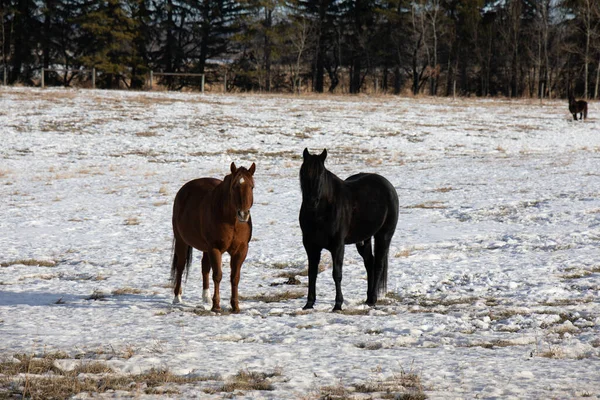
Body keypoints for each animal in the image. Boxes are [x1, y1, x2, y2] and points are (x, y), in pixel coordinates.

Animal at [169, 162, 255, 312]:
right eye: (234, 186)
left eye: (251, 186)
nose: (243, 214)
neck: (231, 221)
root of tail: (183, 190)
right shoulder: (215, 248)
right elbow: (217, 275)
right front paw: (216, 306)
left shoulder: (241, 250)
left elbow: (235, 277)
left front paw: (235, 306)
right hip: (181, 241)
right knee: (180, 266)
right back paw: (177, 298)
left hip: (205, 248)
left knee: (204, 267)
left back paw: (206, 298)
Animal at [298, 148, 398, 310]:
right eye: (303, 173)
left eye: (321, 174)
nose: (311, 202)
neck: (321, 212)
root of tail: (388, 186)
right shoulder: (310, 245)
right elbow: (312, 273)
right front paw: (309, 304)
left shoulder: (338, 245)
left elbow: (337, 274)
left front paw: (338, 304)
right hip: (364, 239)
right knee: (369, 263)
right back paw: (368, 299)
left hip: (383, 236)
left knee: (378, 265)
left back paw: (373, 299)